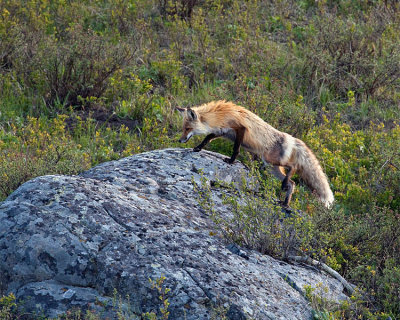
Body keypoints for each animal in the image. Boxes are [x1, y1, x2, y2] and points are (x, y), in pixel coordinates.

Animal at [177, 100, 334, 210]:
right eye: (183, 128)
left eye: (187, 128)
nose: (180, 140)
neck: (220, 115)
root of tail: (292, 138)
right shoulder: (222, 131)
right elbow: (207, 138)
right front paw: (198, 148)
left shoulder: (240, 129)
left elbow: (236, 149)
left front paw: (231, 161)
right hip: (271, 168)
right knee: (292, 183)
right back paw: (285, 203)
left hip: (271, 160)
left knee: (292, 167)